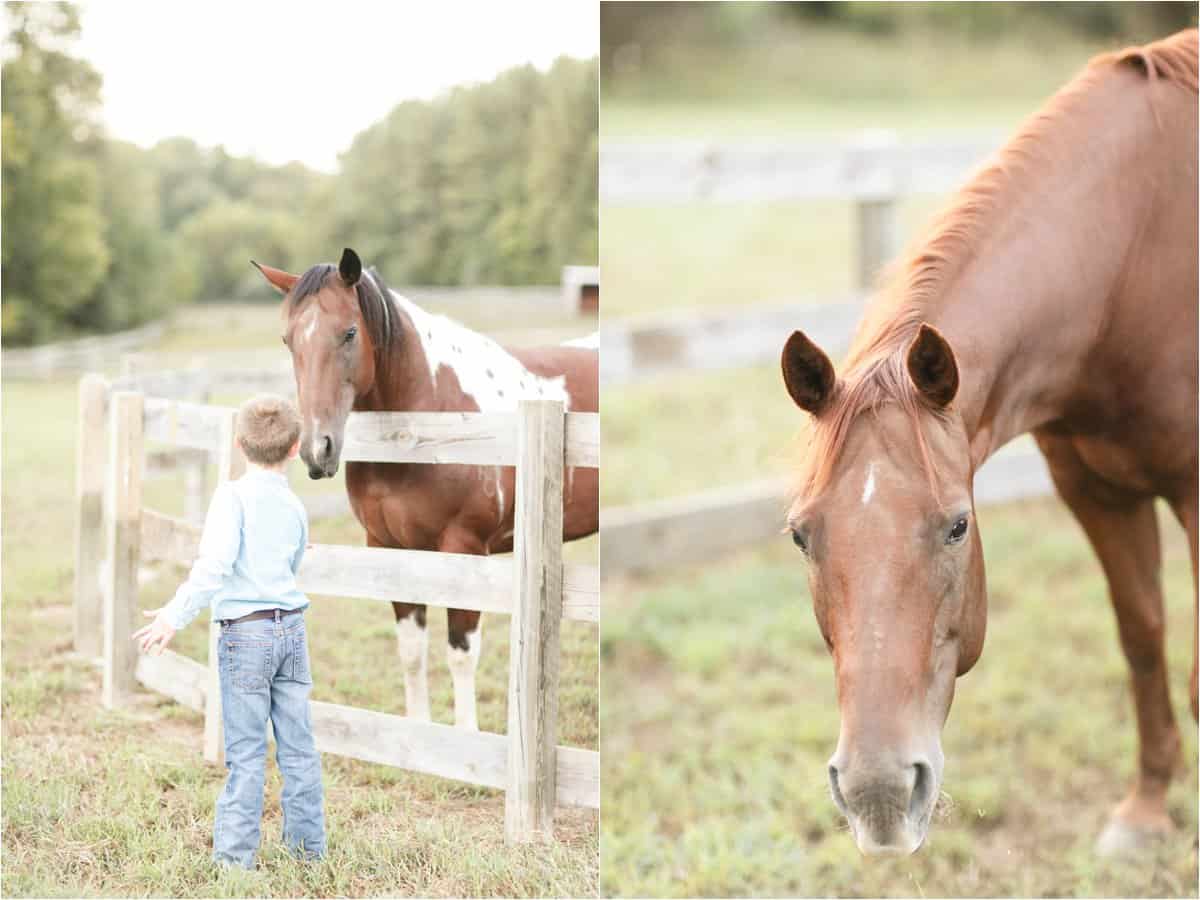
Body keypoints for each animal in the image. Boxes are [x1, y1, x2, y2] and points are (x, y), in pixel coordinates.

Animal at [254, 248, 600, 734]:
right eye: (288, 340)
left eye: (349, 332)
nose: (316, 449)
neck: (427, 426)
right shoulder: (390, 548)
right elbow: (412, 653)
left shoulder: (465, 549)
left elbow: (460, 654)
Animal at [782, 30, 1195, 859]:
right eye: (801, 535)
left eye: (957, 527)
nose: (878, 795)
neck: (1130, 254)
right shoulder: (1095, 491)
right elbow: (1142, 637)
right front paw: (1146, 811)